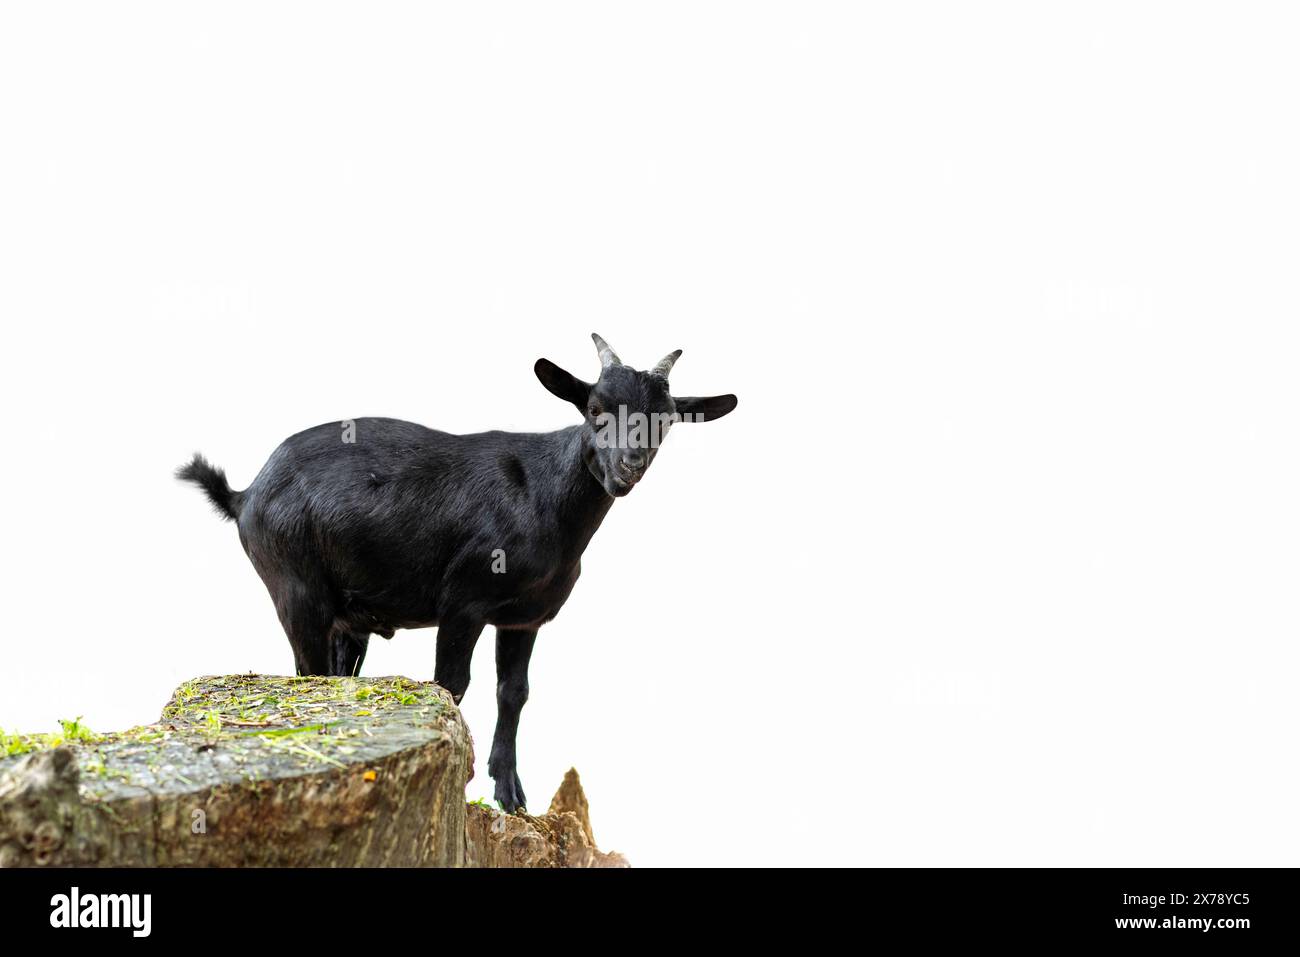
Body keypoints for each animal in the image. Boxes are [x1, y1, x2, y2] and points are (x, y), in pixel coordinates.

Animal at [177, 334, 737, 811]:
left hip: (345, 614)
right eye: (595, 409)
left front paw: (511, 794)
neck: (543, 493)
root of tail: (245, 494)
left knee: (337, 673)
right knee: (307, 672)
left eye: (665, 420)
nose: (629, 466)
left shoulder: (525, 617)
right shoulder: (464, 601)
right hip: (295, 588)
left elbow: (514, 692)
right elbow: (451, 684)